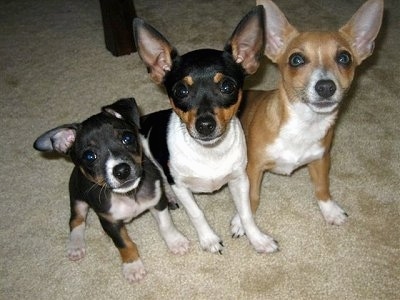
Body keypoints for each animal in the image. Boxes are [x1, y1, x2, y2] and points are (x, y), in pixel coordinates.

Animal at [33, 99, 189, 284]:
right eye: (89, 156)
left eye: (127, 138)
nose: (121, 170)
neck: (128, 196)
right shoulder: (109, 222)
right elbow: (124, 243)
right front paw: (132, 266)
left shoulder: (157, 202)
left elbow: (166, 225)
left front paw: (176, 242)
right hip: (78, 198)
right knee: (76, 221)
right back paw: (76, 245)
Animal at [134, 6, 278, 253]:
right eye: (181, 91)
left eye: (227, 86)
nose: (205, 125)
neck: (210, 153)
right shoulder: (182, 187)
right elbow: (196, 214)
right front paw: (209, 239)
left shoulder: (240, 180)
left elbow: (246, 213)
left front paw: (257, 239)